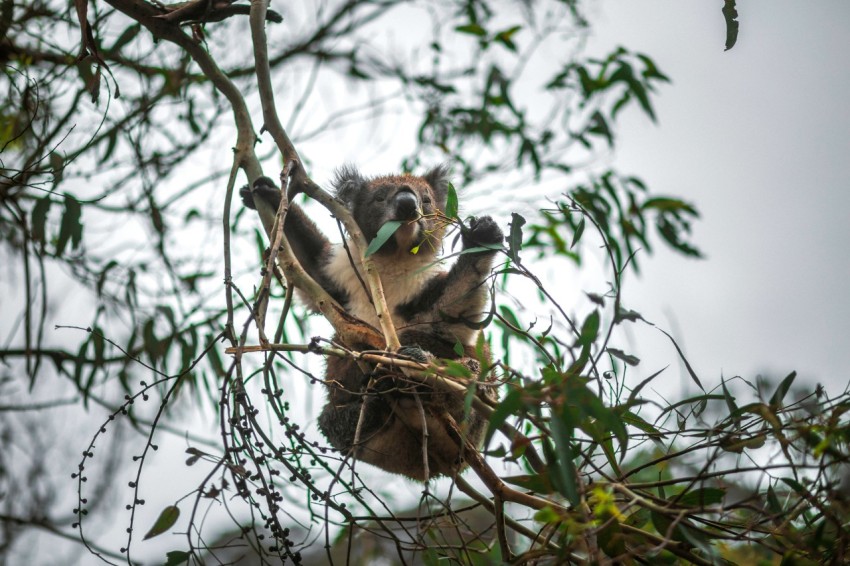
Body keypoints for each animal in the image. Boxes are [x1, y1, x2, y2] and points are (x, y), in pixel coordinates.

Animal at [241, 166, 503, 480]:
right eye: (379, 198)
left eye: (426, 200)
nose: (407, 205)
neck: (393, 261)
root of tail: (426, 468)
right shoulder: (339, 281)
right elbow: (308, 265)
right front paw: (265, 193)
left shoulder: (430, 295)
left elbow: (455, 315)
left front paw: (482, 237)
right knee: (336, 423)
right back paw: (374, 397)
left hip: (471, 422)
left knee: (471, 372)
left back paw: (420, 367)